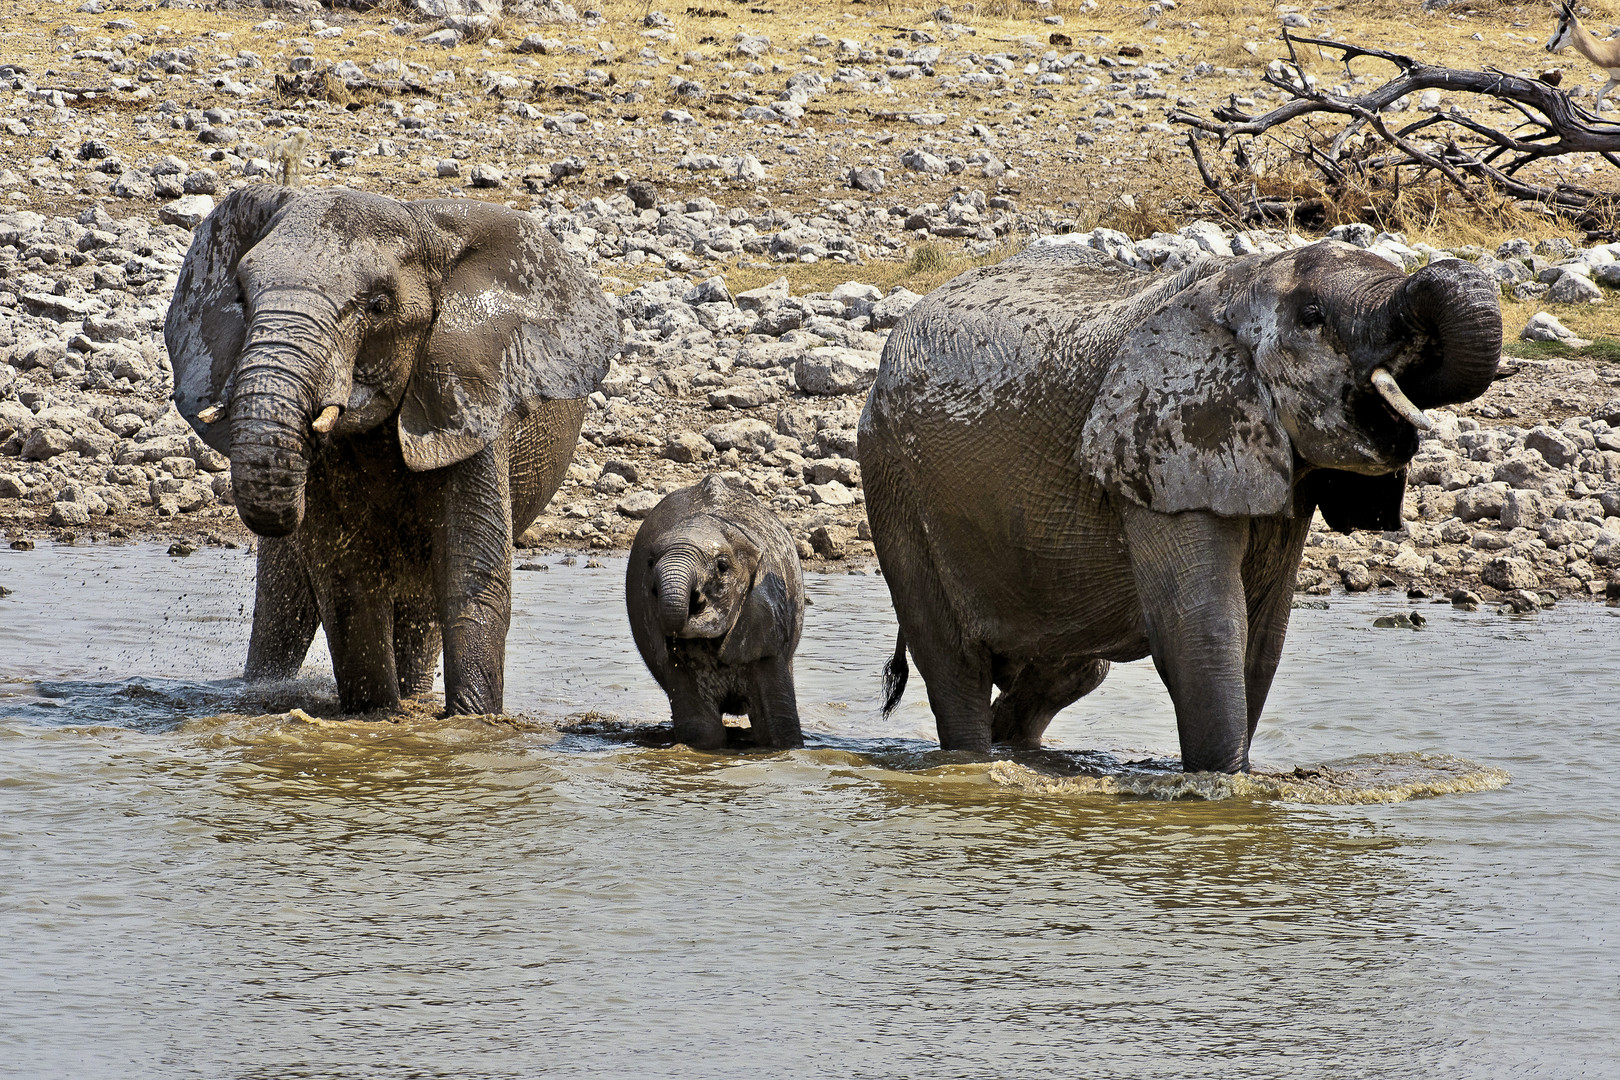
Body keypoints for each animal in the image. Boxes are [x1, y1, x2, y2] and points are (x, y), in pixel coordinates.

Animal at [166, 183, 618, 718]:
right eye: (239, 295)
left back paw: (416, 698)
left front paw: (473, 723)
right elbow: (346, 584)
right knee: (283, 606)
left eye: (379, 306)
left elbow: (470, 575)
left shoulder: (471, 403)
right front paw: (376, 716)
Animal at [861, 241, 1503, 773]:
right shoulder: (1158, 449)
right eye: (1314, 317)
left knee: (1072, 669)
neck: (1237, 281)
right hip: (893, 481)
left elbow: (1262, 641)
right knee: (956, 666)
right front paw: (1226, 792)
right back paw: (974, 760)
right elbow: (1204, 629)